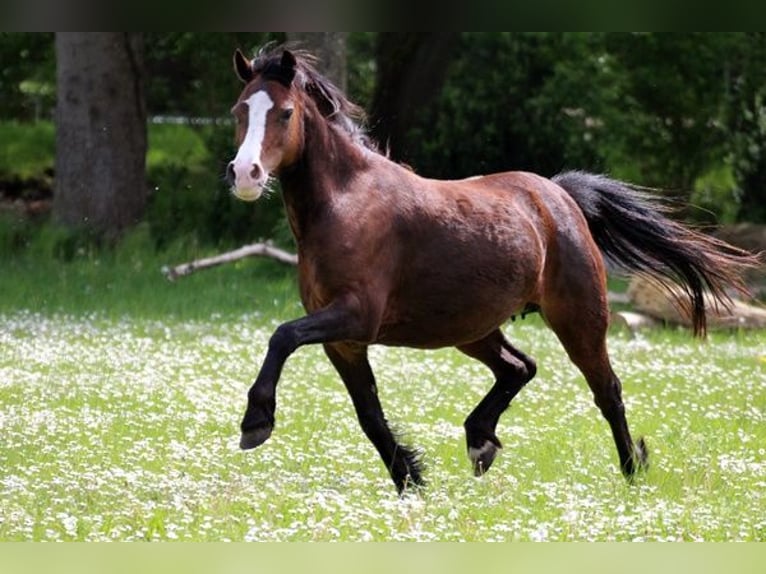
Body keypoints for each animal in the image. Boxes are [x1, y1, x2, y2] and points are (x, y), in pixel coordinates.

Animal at [225, 46, 764, 496]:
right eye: (239, 112)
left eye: (285, 112)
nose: (245, 174)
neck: (344, 203)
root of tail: (559, 194)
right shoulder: (344, 341)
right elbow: (368, 413)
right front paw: (411, 480)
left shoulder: (356, 316)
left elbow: (282, 335)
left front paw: (256, 422)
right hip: (472, 328)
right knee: (520, 366)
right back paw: (480, 440)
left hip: (578, 318)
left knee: (606, 389)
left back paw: (633, 473)